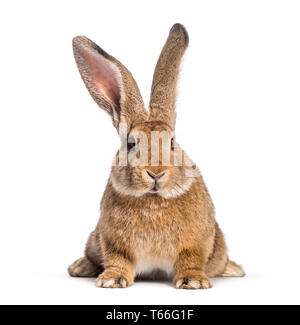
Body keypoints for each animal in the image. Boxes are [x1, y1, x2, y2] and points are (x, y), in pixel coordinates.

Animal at [68, 23, 246, 288]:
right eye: (131, 143)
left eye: (172, 142)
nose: (155, 173)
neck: (153, 200)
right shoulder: (112, 241)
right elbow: (117, 259)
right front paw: (112, 280)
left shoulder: (196, 243)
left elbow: (191, 259)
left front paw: (193, 282)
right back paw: (79, 267)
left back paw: (235, 270)